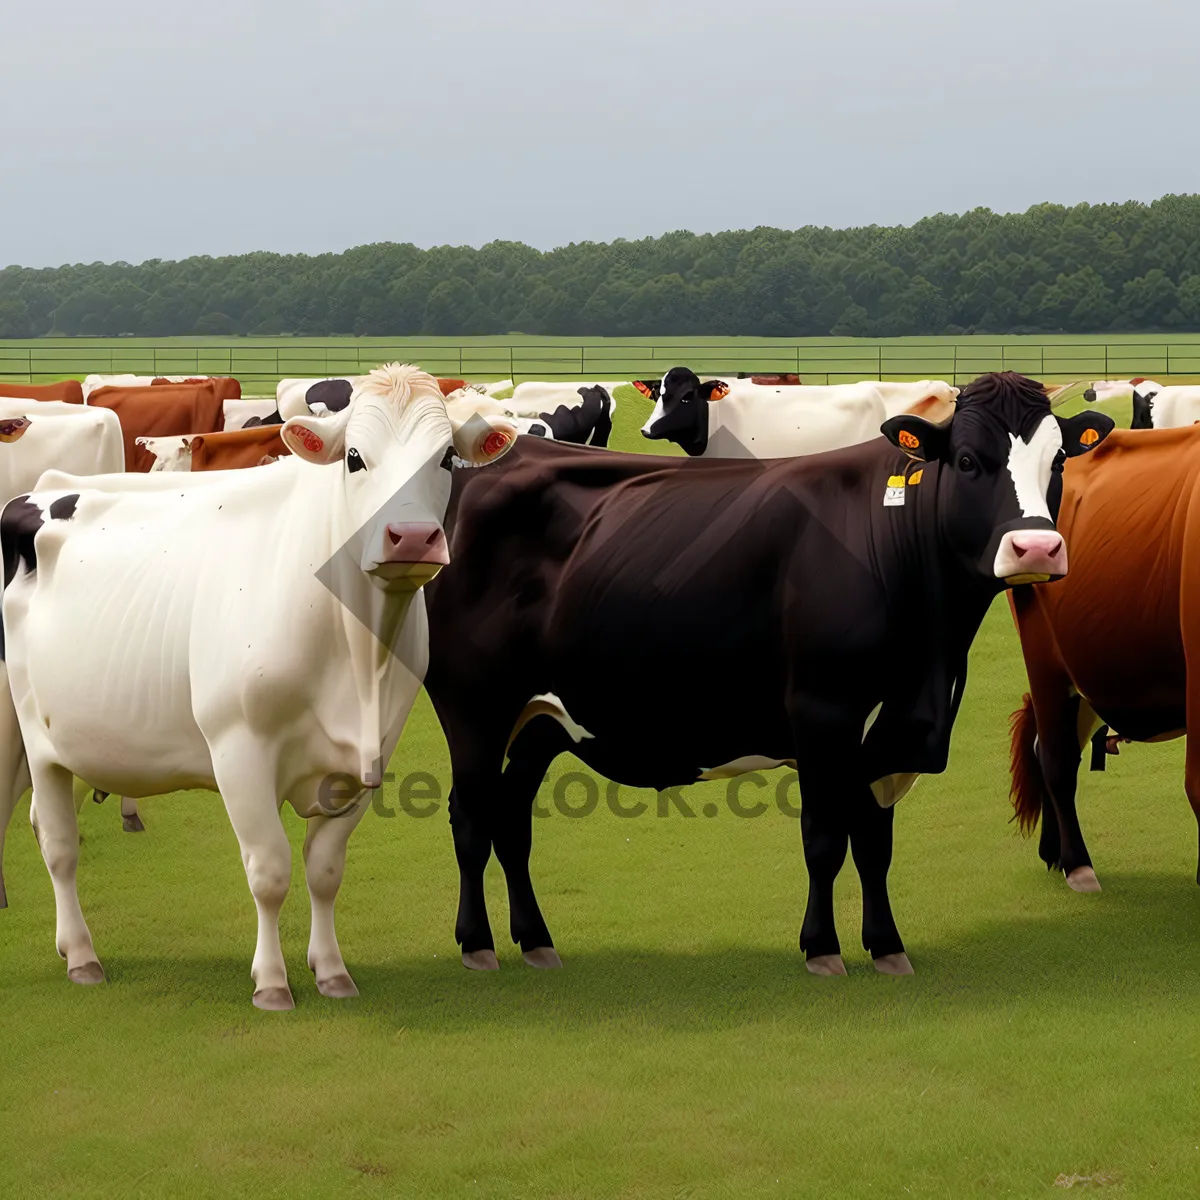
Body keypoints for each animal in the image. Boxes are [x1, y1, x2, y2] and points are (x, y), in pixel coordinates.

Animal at [0, 362, 516, 1003]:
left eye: (446, 457)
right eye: (353, 458)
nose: (413, 536)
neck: (357, 661)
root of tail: (45, 488)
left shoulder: (367, 759)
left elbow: (325, 870)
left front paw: (332, 970)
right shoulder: (238, 748)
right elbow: (270, 870)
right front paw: (271, 982)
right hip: (26, 728)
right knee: (58, 844)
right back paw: (81, 955)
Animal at [424, 369, 1113, 979]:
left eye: (1057, 462)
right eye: (968, 461)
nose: (1036, 548)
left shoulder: (893, 729)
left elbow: (875, 843)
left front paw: (887, 947)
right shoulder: (822, 711)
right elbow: (825, 838)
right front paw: (823, 950)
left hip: (540, 721)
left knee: (511, 819)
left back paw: (537, 942)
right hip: (472, 706)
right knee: (471, 817)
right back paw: (477, 944)